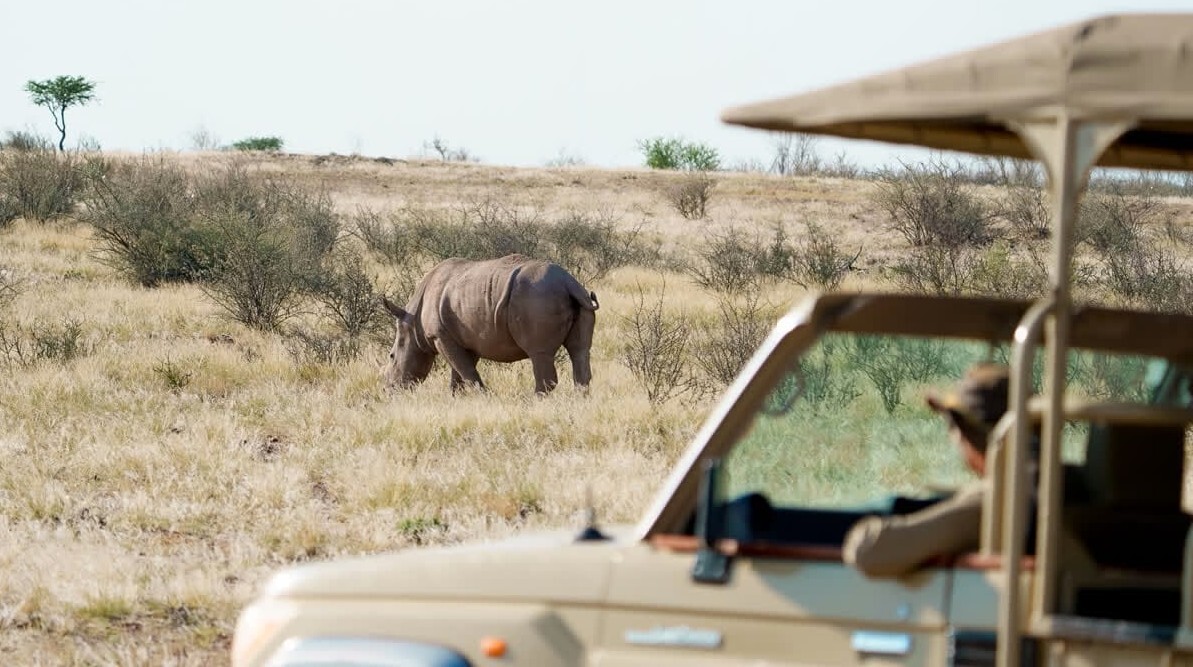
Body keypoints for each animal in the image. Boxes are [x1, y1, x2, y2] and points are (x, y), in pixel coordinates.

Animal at [382, 255, 598, 394]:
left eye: (391, 356)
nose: (389, 390)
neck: (412, 322)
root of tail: (568, 282)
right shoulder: (468, 338)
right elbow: (460, 373)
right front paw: (458, 399)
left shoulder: (440, 336)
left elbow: (466, 371)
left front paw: (483, 397)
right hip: (578, 299)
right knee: (580, 350)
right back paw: (580, 400)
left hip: (536, 298)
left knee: (539, 354)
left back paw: (535, 402)